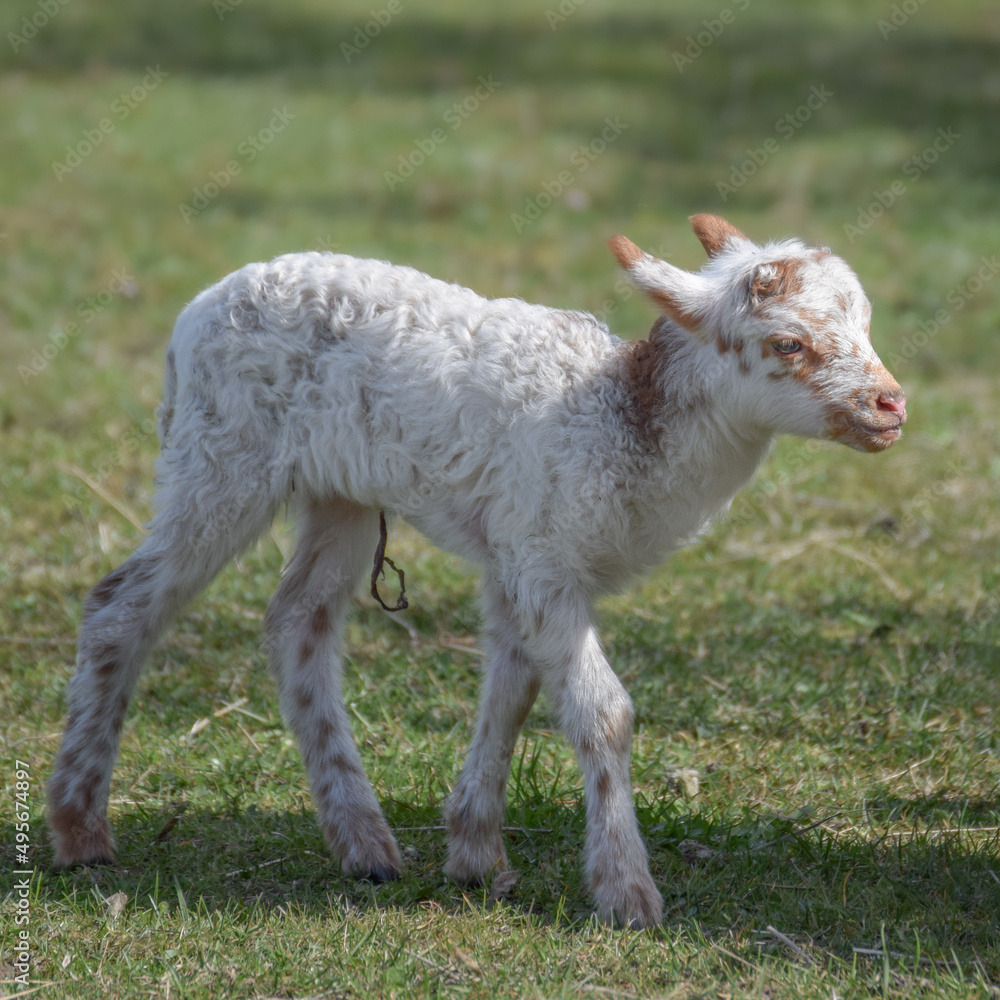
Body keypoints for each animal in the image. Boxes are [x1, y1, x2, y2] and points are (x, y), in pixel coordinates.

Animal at [47, 214, 906, 927]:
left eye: (866, 324)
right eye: (788, 344)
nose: (892, 405)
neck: (619, 422)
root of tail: (196, 310)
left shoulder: (514, 556)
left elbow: (512, 694)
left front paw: (475, 857)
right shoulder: (542, 554)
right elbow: (603, 712)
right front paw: (627, 893)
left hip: (337, 490)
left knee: (297, 622)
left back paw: (365, 846)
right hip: (218, 457)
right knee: (121, 606)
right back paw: (81, 829)